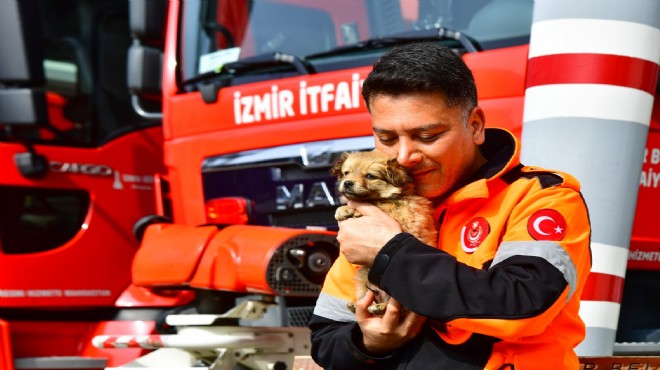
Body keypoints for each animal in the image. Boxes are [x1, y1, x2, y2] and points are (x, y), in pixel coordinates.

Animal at [330, 148, 438, 316]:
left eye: (370, 176)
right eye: (346, 173)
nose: (347, 183)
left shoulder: (397, 215)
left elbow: (376, 205)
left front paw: (349, 209)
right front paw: (343, 209)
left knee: (399, 307)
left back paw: (380, 307)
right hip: (362, 278)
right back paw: (357, 305)